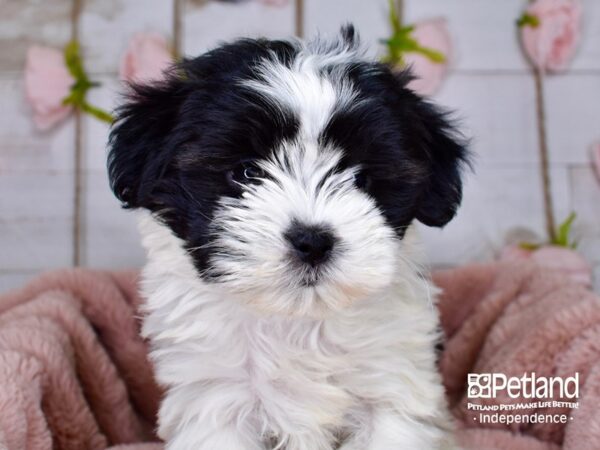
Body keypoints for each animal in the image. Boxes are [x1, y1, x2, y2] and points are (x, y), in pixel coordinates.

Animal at [109, 25, 468, 450]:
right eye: (247, 172)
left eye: (361, 178)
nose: (312, 241)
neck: (296, 319)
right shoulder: (217, 398)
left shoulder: (391, 384)